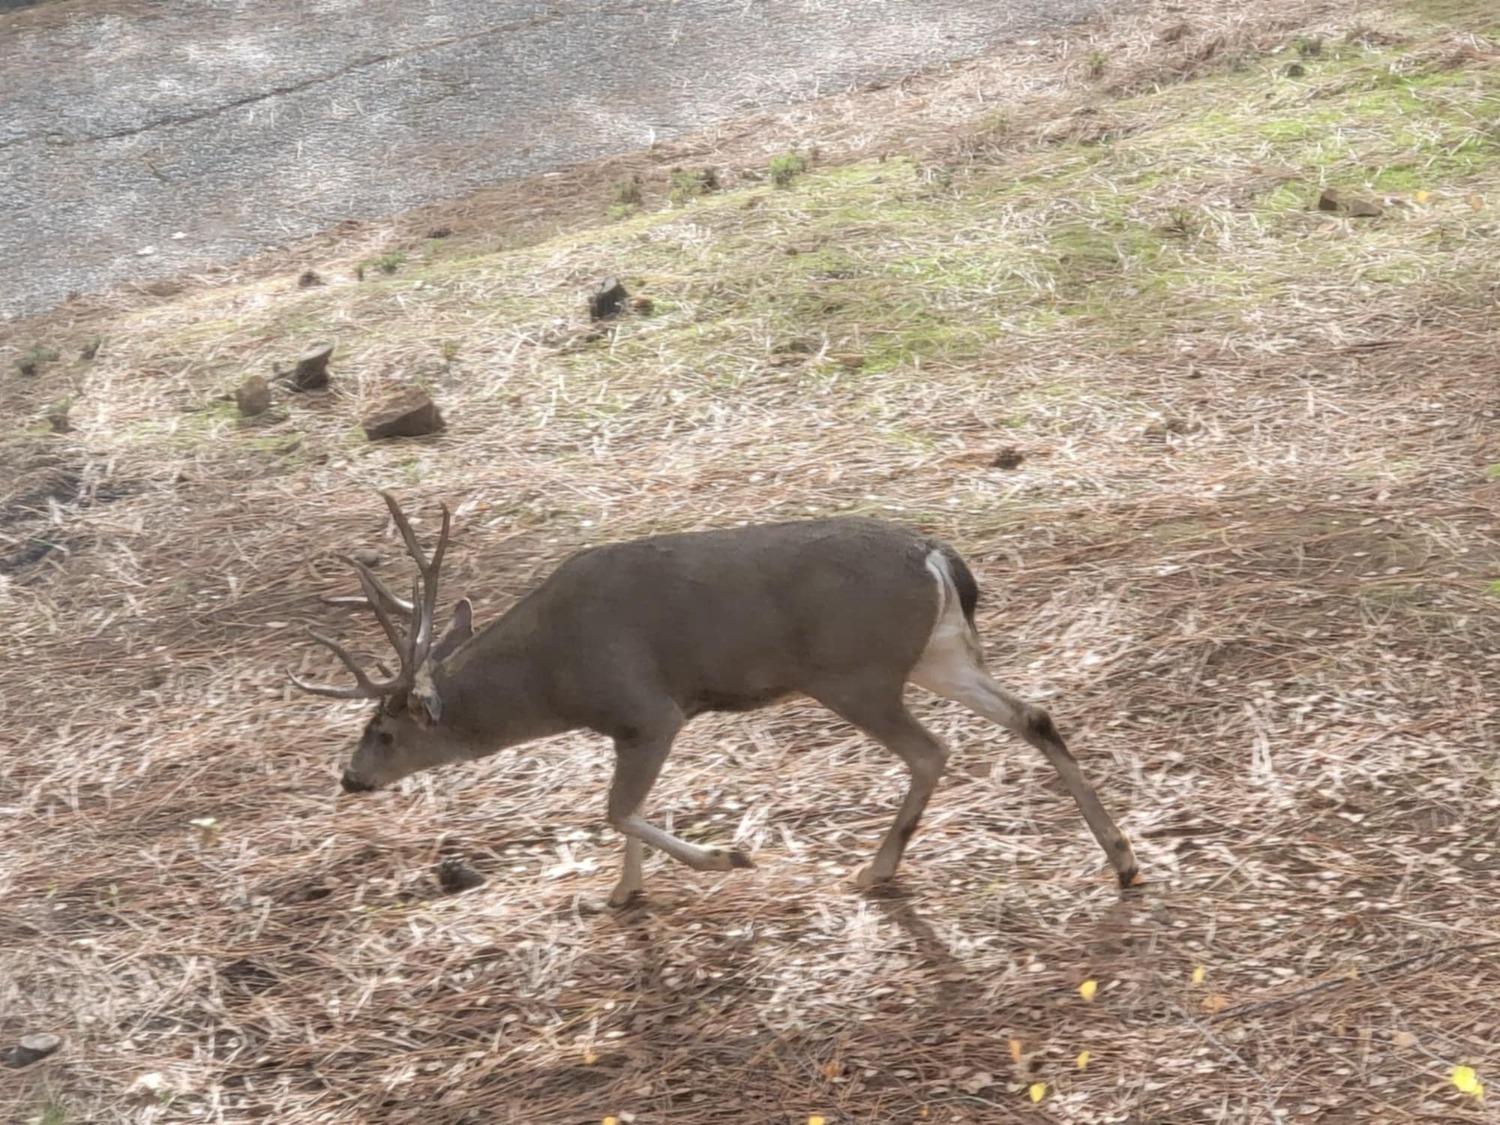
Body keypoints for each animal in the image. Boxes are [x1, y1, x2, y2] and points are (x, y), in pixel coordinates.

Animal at [289, 492, 1134, 906]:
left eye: (383, 731)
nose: (349, 776)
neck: (554, 674)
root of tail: (936, 553)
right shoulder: (625, 725)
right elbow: (618, 811)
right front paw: (620, 894)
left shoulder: (649, 706)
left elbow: (615, 809)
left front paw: (725, 856)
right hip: (937, 651)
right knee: (1033, 712)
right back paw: (1122, 859)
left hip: (854, 671)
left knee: (932, 750)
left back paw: (875, 868)